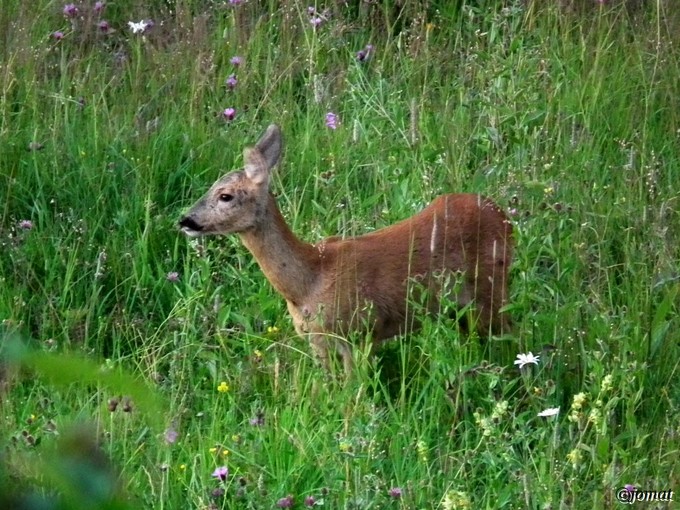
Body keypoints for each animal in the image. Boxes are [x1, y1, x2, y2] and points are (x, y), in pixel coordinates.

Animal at [178, 123, 512, 370]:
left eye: (225, 195)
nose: (185, 220)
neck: (309, 281)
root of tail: (502, 214)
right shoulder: (317, 341)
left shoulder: (359, 333)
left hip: (492, 289)